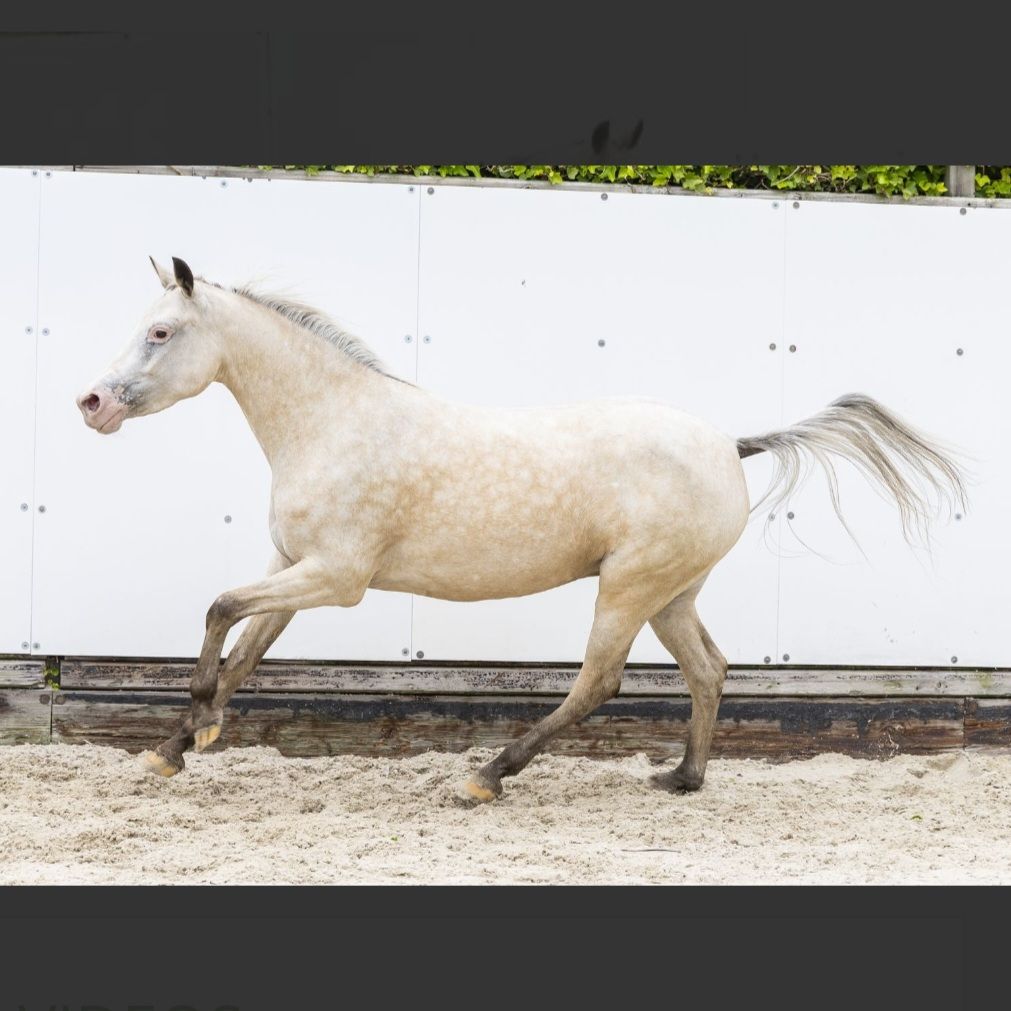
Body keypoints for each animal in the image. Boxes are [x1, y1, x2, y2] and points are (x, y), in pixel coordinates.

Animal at [76, 256, 967, 801]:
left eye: (160, 332)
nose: (92, 402)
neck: (333, 423)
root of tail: (729, 444)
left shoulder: (337, 577)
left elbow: (219, 610)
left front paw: (195, 726)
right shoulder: (292, 564)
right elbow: (246, 647)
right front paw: (176, 744)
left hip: (629, 585)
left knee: (598, 683)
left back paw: (488, 774)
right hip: (671, 593)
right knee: (709, 670)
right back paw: (682, 777)